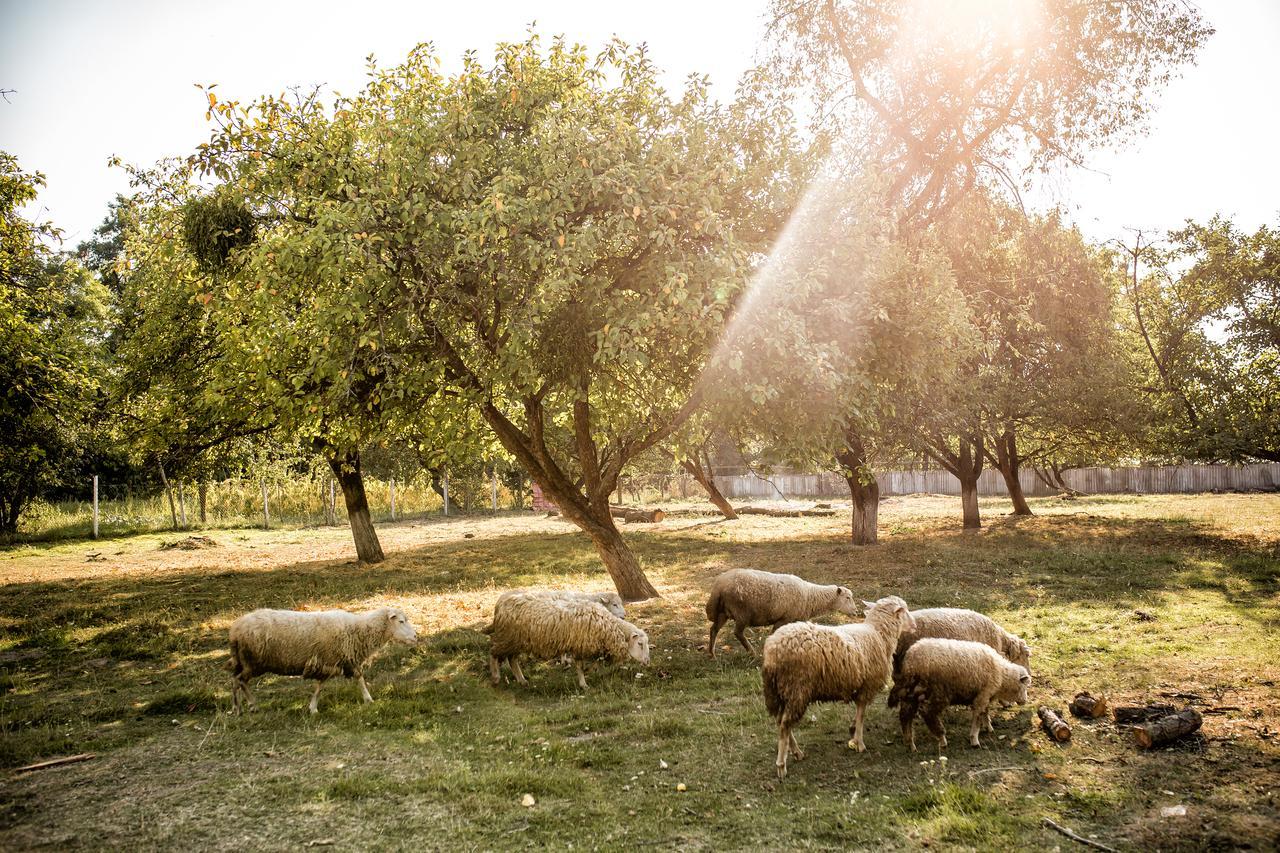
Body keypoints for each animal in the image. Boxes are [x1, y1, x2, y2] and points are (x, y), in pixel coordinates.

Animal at [224, 604, 414, 712]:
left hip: (244, 661)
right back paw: (251, 705)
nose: (416, 636)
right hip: (252, 661)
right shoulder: (330, 660)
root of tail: (235, 630)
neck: (359, 630)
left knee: (235, 680)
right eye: (401, 621)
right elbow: (323, 686)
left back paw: (236, 708)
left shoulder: (343, 660)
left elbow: (353, 679)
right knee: (240, 680)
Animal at [483, 594, 655, 686]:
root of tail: (501, 602)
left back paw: (522, 680)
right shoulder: (580, 645)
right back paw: (496, 678)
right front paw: (584, 683)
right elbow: (580, 666)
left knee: (512, 659)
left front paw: (593, 672)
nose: (648, 662)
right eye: (640, 644)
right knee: (493, 653)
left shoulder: (589, 645)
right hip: (507, 638)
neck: (608, 624)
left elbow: (595, 662)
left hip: (516, 641)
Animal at [706, 563, 855, 655]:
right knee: (737, 633)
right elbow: (774, 634)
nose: (856, 612)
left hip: (723, 612)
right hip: (742, 612)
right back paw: (752, 652)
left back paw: (712, 654)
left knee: (714, 630)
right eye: (848, 597)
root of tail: (718, 586)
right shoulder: (784, 619)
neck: (809, 595)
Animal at [757, 591, 921, 778]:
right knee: (785, 725)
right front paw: (859, 743)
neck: (878, 634)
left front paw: (853, 734)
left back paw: (796, 751)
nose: (915, 625)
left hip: (780, 691)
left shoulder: (861, 686)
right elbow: (861, 715)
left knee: (780, 721)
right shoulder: (867, 686)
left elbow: (858, 715)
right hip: (797, 688)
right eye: (904, 611)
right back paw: (782, 765)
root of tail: (772, 650)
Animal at [890, 635, 1029, 747]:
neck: (1002, 675)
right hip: (937, 692)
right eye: (1024, 686)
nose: (1025, 701)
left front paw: (989, 727)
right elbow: (978, 717)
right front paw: (974, 739)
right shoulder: (982, 696)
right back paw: (942, 739)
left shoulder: (985, 695)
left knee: (905, 715)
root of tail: (910, 660)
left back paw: (910, 743)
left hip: (912, 692)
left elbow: (985, 712)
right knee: (928, 713)